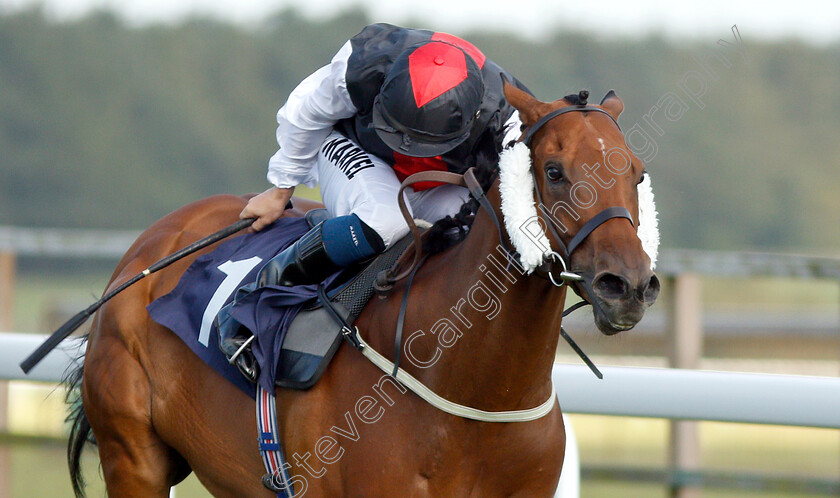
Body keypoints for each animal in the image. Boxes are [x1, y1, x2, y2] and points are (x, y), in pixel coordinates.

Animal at [65, 82, 660, 498]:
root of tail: (148, 248)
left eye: (636, 173)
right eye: (554, 171)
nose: (628, 285)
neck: (477, 391)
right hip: (134, 458)